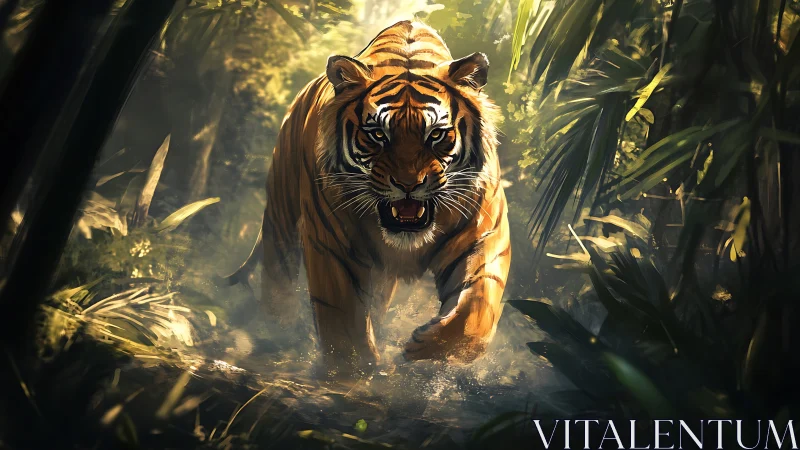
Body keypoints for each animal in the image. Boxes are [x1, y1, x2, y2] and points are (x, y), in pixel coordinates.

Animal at [241, 20, 511, 377]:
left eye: (436, 134)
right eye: (378, 135)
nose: (409, 184)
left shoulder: (484, 235)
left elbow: (477, 308)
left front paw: (424, 348)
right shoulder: (331, 245)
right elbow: (341, 318)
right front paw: (351, 372)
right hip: (280, 218)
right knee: (278, 278)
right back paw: (274, 334)